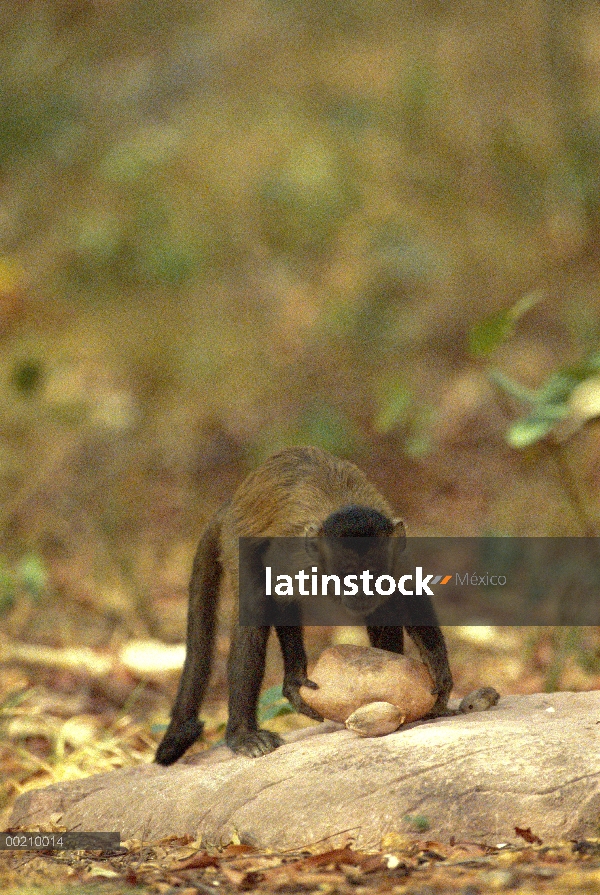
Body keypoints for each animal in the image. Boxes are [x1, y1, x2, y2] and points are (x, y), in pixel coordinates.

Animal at [157, 448, 452, 764]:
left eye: (373, 574)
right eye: (347, 575)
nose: (361, 592)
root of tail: (234, 500)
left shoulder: (397, 554)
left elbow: (407, 597)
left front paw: (438, 668)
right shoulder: (297, 555)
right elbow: (274, 596)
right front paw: (295, 680)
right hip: (236, 540)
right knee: (253, 613)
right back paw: (243, 735)